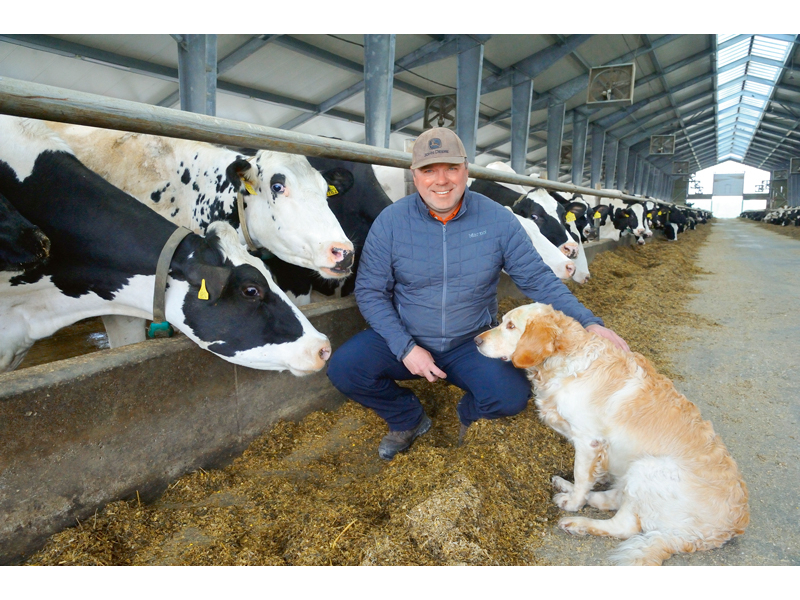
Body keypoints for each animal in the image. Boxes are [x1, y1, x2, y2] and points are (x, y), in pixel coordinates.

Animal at [472, 302, 748, 564]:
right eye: (502, 321)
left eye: (510, 326)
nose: (476, 340)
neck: (567, 360)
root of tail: (726, 531)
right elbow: (588, 477)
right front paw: (579, 488)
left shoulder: (588, 440)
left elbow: (582, 475)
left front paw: (574, 503)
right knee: (613, 499)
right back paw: (565, 487)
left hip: (648, 468)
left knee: (624, 526)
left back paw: (577, 521)